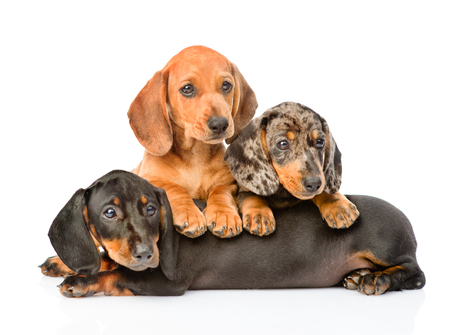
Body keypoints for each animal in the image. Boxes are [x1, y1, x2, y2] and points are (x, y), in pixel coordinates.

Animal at [40, 172, 424, 298]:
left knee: (416, 274)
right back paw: (359, 276)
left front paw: (80, 282)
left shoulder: (168, 282)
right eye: (109, 212)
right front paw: (63, 263)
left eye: (151, 210)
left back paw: (376, 280)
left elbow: (116, 275)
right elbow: (108, 261)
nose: (148, 255)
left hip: (386, 244)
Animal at [128, 45, 258, 239]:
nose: (220, 124)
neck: (195, 156)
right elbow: (174, 188)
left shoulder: (229, 183)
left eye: (226, 86)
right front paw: (190, 214)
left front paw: (224, 214)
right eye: (187, 89)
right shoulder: (151, 179)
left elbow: (220, 191)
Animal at [227, 102, 360, 236]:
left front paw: (337, 205)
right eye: (282, 144)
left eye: (320, 142)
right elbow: (252, 195)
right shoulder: (242, 189)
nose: (314, 183)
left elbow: (323, 191)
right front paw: (259, 214)